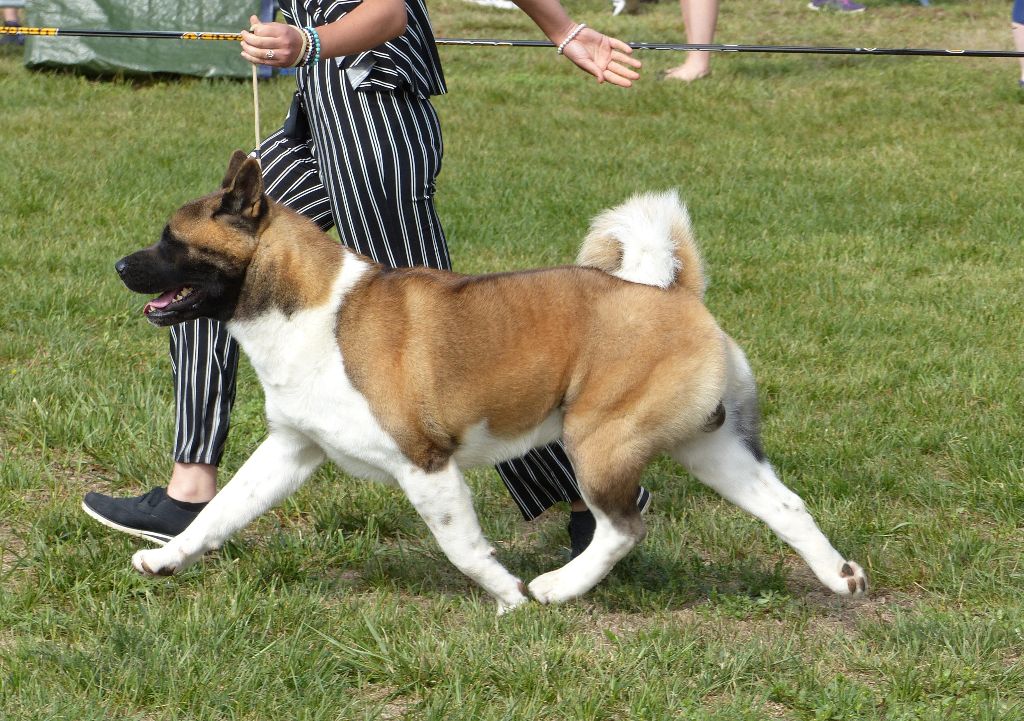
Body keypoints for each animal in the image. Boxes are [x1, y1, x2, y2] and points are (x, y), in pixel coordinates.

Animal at [114, 150, 864, 606]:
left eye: (171, 241)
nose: (120, 265)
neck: (311, 307)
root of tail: (676, 295)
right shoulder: (290, 450)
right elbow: (221, 510)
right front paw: (168, 559)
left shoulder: (425, 466)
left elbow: (462, 546)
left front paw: (506, 593)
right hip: (709, 447)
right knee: (784, 505)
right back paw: (839, 576)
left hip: (599, 441)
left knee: (622, 526)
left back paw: (557, 586)